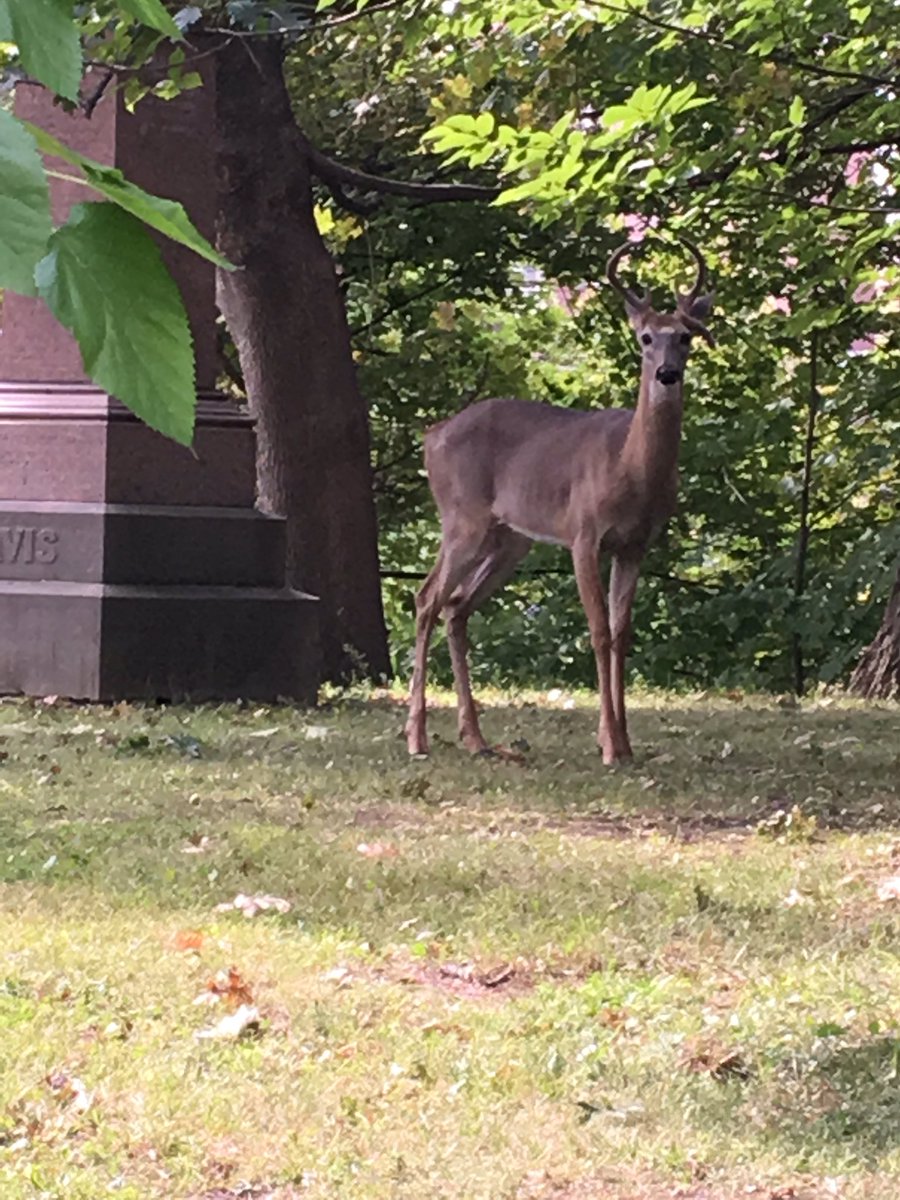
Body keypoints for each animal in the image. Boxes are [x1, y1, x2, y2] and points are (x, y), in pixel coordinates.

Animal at [405, 237, 715, 763]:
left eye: (685, 338)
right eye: (646, 338)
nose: (668, 374)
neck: (629, 467)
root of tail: (432, 434)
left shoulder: (635, 545)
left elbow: (622, 633)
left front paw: (624, 741)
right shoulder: (583, 534)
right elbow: (598, 631)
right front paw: (610, 745)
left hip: (509, 539)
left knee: (457, 606)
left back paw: (476, 739)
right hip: (461, 517)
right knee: (428, 599)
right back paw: (417, 737)